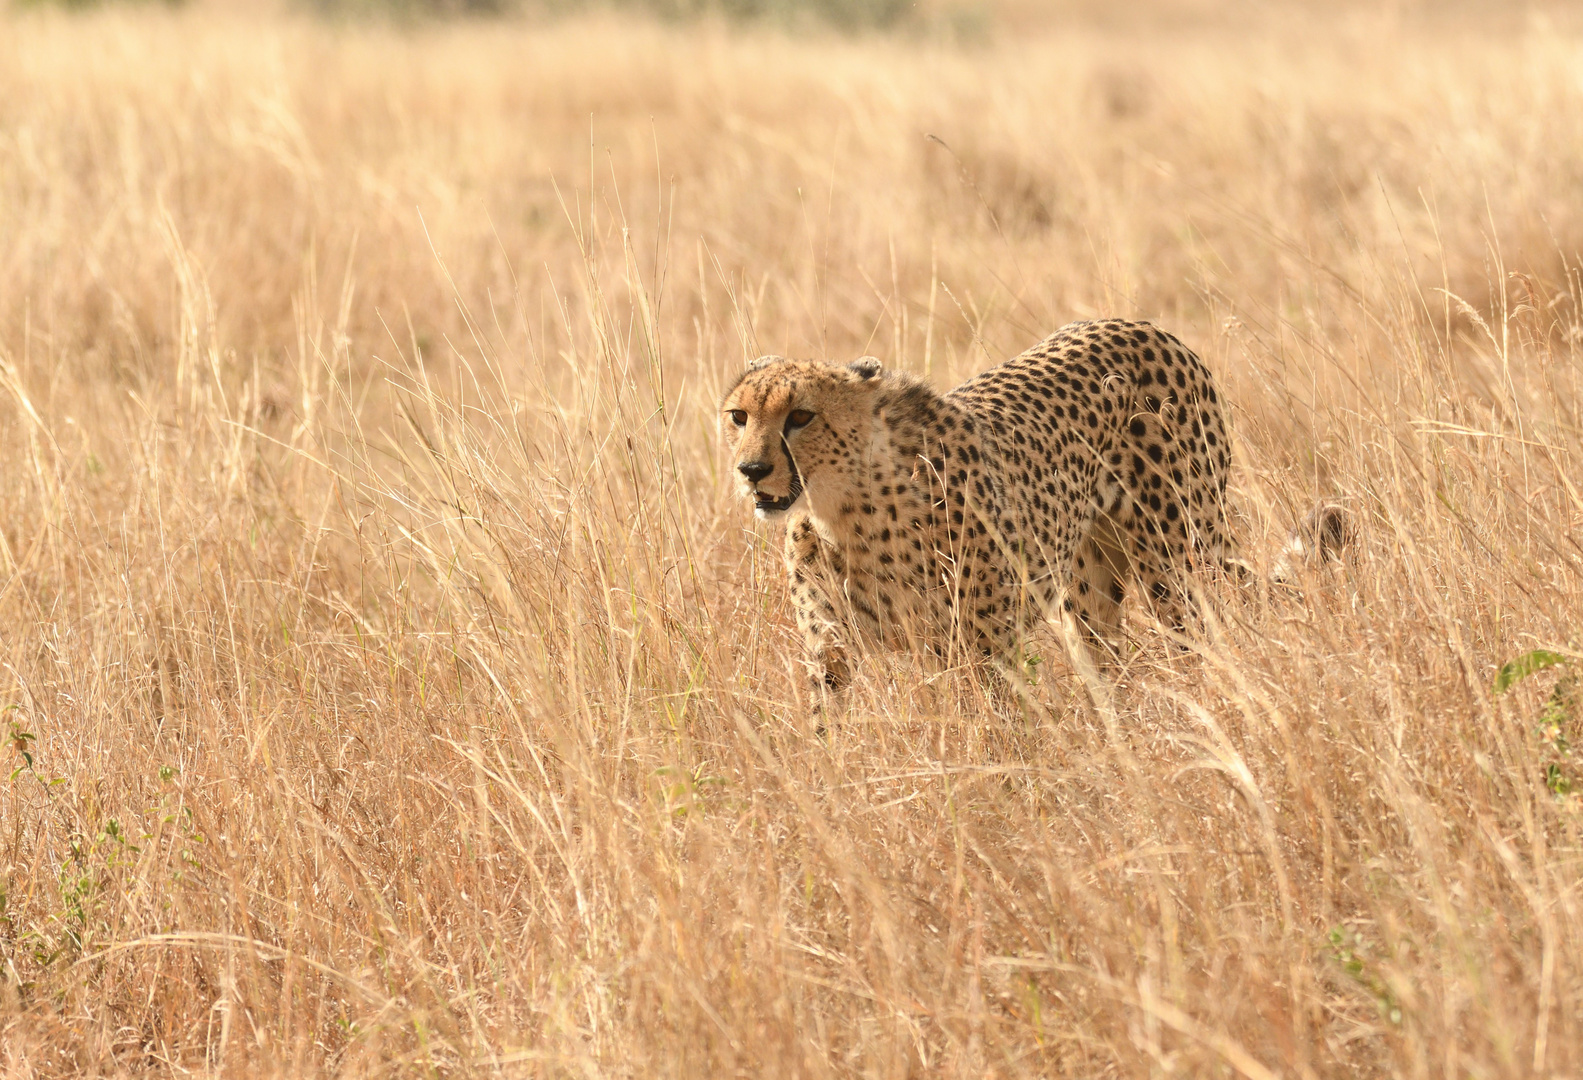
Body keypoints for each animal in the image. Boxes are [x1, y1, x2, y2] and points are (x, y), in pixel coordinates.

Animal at [725, 319, 1241, 690]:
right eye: (739, 416)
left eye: (801, 417)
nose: (751, 469)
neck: (845, 509)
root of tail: (1140, 326)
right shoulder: (830, 644)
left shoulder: (980, 644)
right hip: (1088, 585)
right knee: (1105, 653)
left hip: (1178, 563)